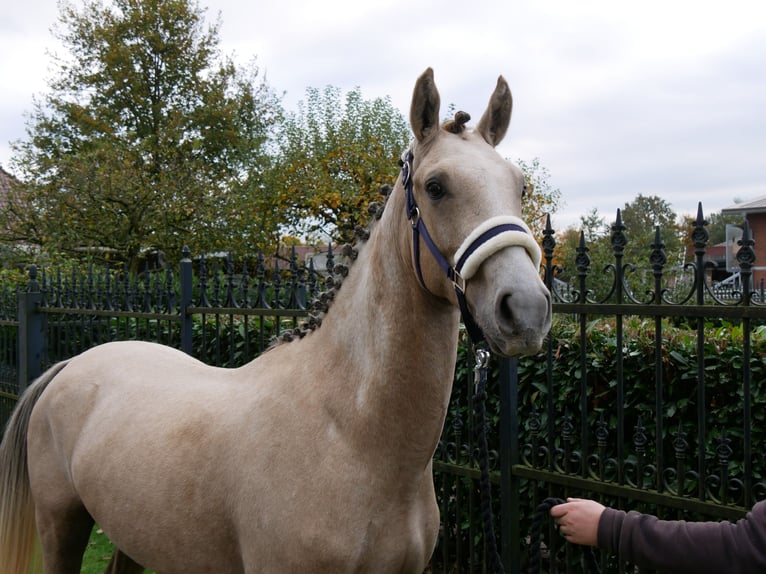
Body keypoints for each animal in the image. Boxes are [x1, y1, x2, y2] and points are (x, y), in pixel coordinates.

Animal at [0, 68, 552, 574]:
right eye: (435, 187)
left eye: (520, 187)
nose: (526, 309)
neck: (350, 434)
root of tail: (68, 369)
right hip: (62, 526)